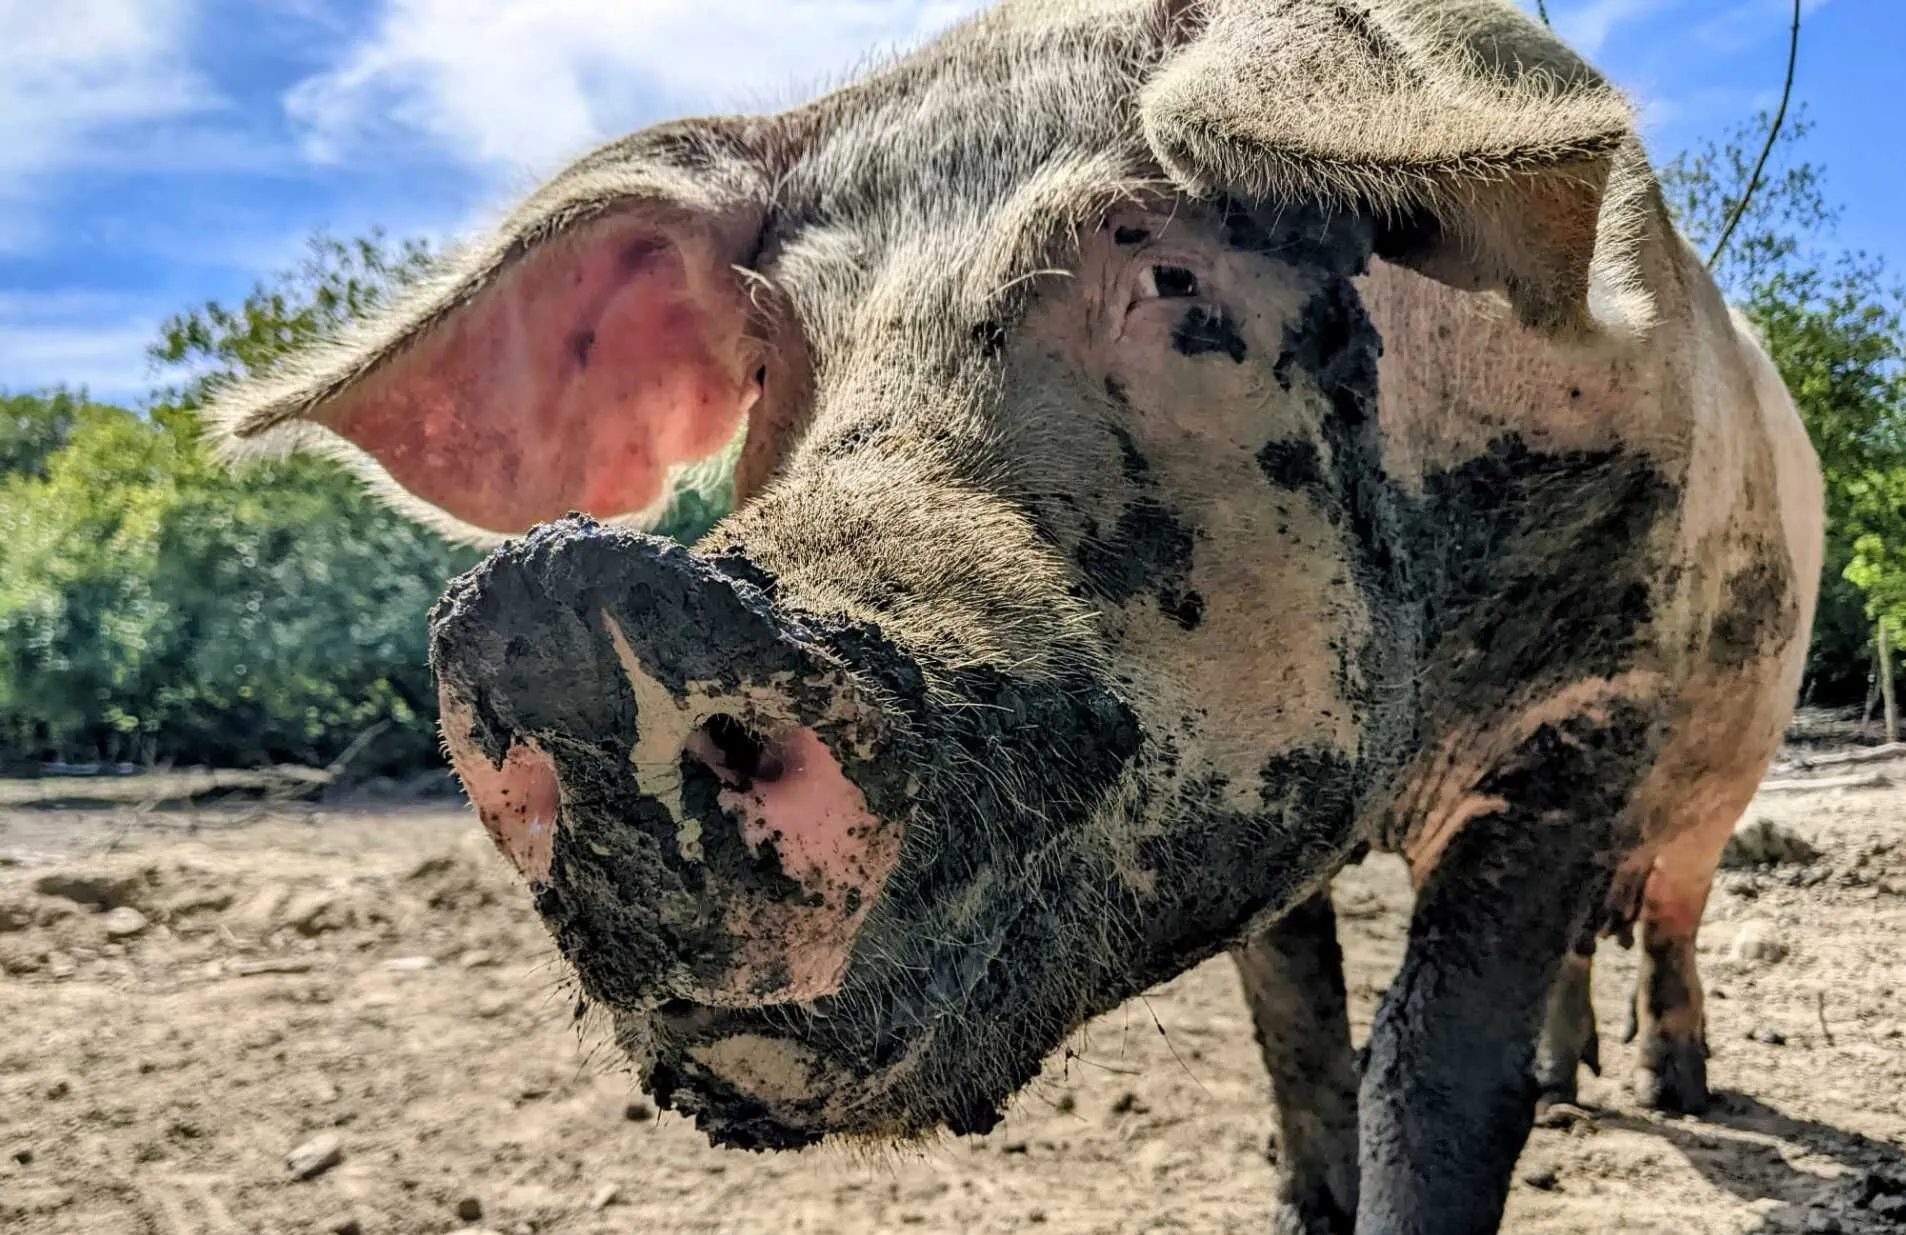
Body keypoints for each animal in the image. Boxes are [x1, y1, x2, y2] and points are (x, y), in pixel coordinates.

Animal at [207, 1, 1823, 1231]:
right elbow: (1293, 1031)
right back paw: (1581, 1079)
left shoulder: (1583, 700)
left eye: (1169, 271)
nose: (560, 607)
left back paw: (1668, 1087)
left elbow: (1432, 1073)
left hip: (1722, 757)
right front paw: (1301, 1202)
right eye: (771, 354)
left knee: (1665, 912)